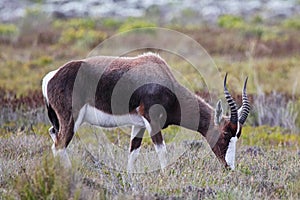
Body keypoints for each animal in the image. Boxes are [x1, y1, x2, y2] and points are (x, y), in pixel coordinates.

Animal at [41, 52, 250, 171]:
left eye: (237, 135)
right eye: (225, 134)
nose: (230, 168)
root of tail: (51, 76)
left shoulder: (139, 125)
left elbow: (133, 153)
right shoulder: (152, 121)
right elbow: (162, 151)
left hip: (58, 121)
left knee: (53, 136)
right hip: (71, 119)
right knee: (59, 145)